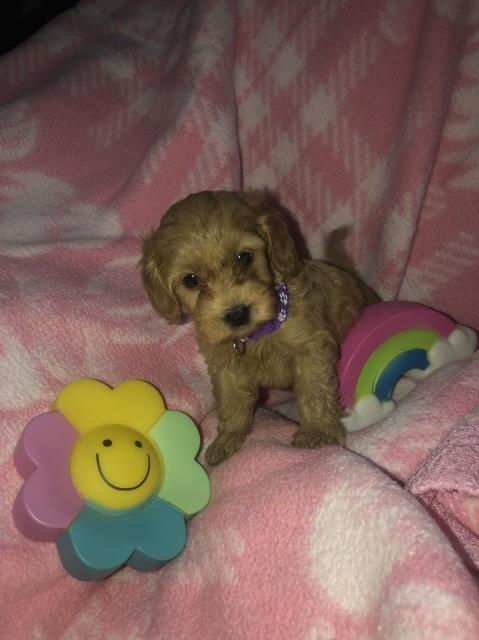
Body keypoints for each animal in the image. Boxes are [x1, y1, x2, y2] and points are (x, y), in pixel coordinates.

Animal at [141, 190, 380, 464]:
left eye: (244, 257)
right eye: (191, 280)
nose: (237, 313)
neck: (258, 337)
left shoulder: (311, 348)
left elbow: (314, 389)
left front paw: (317, 431)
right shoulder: (225, 366)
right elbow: (232, 403)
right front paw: (228, 439)